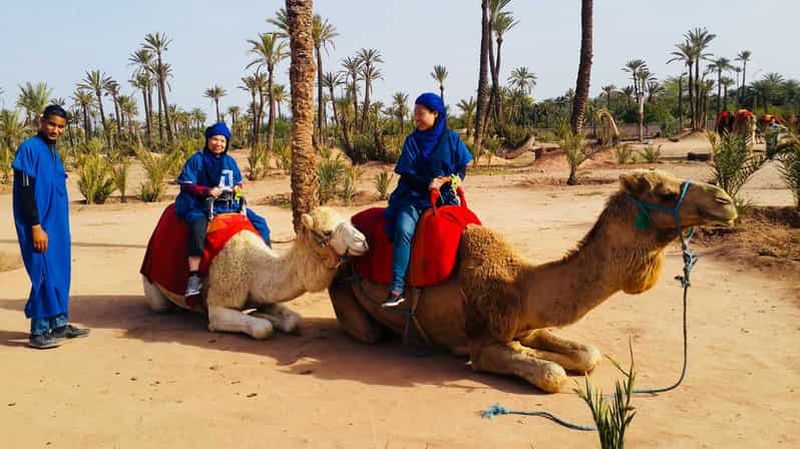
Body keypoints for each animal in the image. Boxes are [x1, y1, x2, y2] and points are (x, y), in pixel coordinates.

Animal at [143, 207, 368, 339]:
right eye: (327, 232)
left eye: (348, 221)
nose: (363, 241)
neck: (252, 269)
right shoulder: (218, 304)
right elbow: (262, 329)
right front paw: (261, 319)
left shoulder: (265, 295)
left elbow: (294, 321)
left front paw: (261, 314)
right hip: (152, 284)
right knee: (161, 305)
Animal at [328, 170, 737, 393]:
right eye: (665, 193)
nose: (725, 201)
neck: (520, 285)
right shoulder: (485, 343)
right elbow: (552, 374)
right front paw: (539, 360)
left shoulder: (530, 324)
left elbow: (588, 354)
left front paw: (551, 355)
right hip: (345, 297)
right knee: (370, 332)